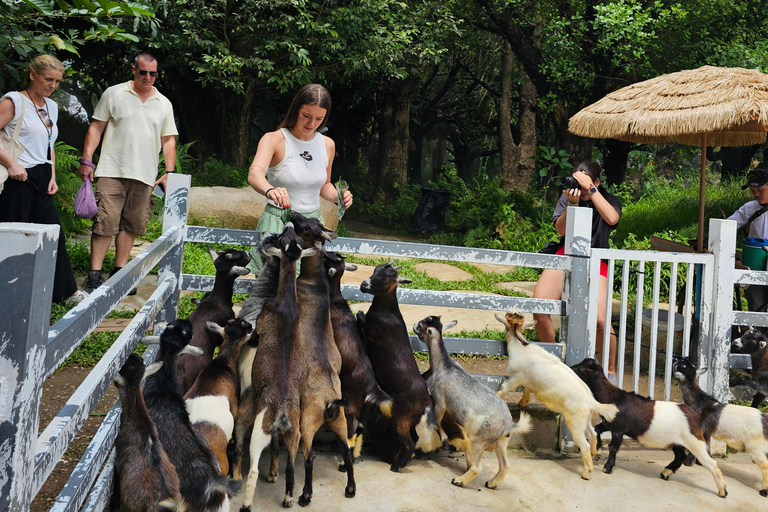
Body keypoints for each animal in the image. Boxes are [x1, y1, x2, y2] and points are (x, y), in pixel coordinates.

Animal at [356, 260, 440, 472]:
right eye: (375, 270)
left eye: (387, 278)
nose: (364, 285)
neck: (387, 312)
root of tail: (425, 402)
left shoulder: (371, 331)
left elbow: (359, 315)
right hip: (408, 420)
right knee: (414, 438)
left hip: (400, 418)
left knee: (409, 442)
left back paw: (395, 466)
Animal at [496, 310, 620, 482]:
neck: (521, 347)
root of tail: (591, 401)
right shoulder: (527, 379)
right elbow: (527, 389)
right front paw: (522, 402)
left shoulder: (515, 378)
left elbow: (504, 390)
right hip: (585, 419)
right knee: (593, 433)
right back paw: (595, 454)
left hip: (575, 422)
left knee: (584, 444)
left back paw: (586, 473)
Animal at [672, 356, 768, 496]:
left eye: (683, 366)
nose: (675, 359)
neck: (699, 401)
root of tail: (764, 419)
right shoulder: (706, 431)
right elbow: (706, 445)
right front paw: (700, 462)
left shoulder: (698, 429)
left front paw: (688, 462)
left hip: (755, 445)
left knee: (765, 464)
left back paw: (764, 491)